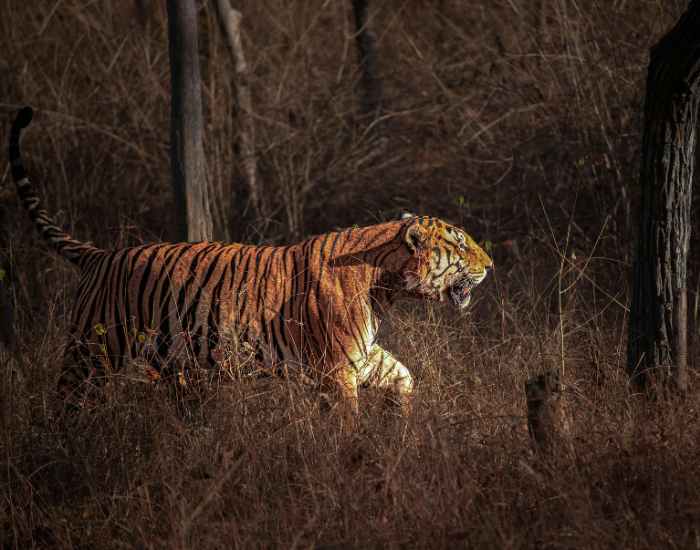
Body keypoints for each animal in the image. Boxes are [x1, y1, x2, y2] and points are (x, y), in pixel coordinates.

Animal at [9, 107, 492, 432]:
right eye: (460, 242)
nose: (490, 264)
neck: (386, 287)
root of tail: (98, 255)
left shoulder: (362, 356)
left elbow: (404, 377)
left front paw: (398, 426)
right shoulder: (336, 368)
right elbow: (347, 425)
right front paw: (356, 462)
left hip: (175, 366)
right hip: (90, 353)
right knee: (63, 406)